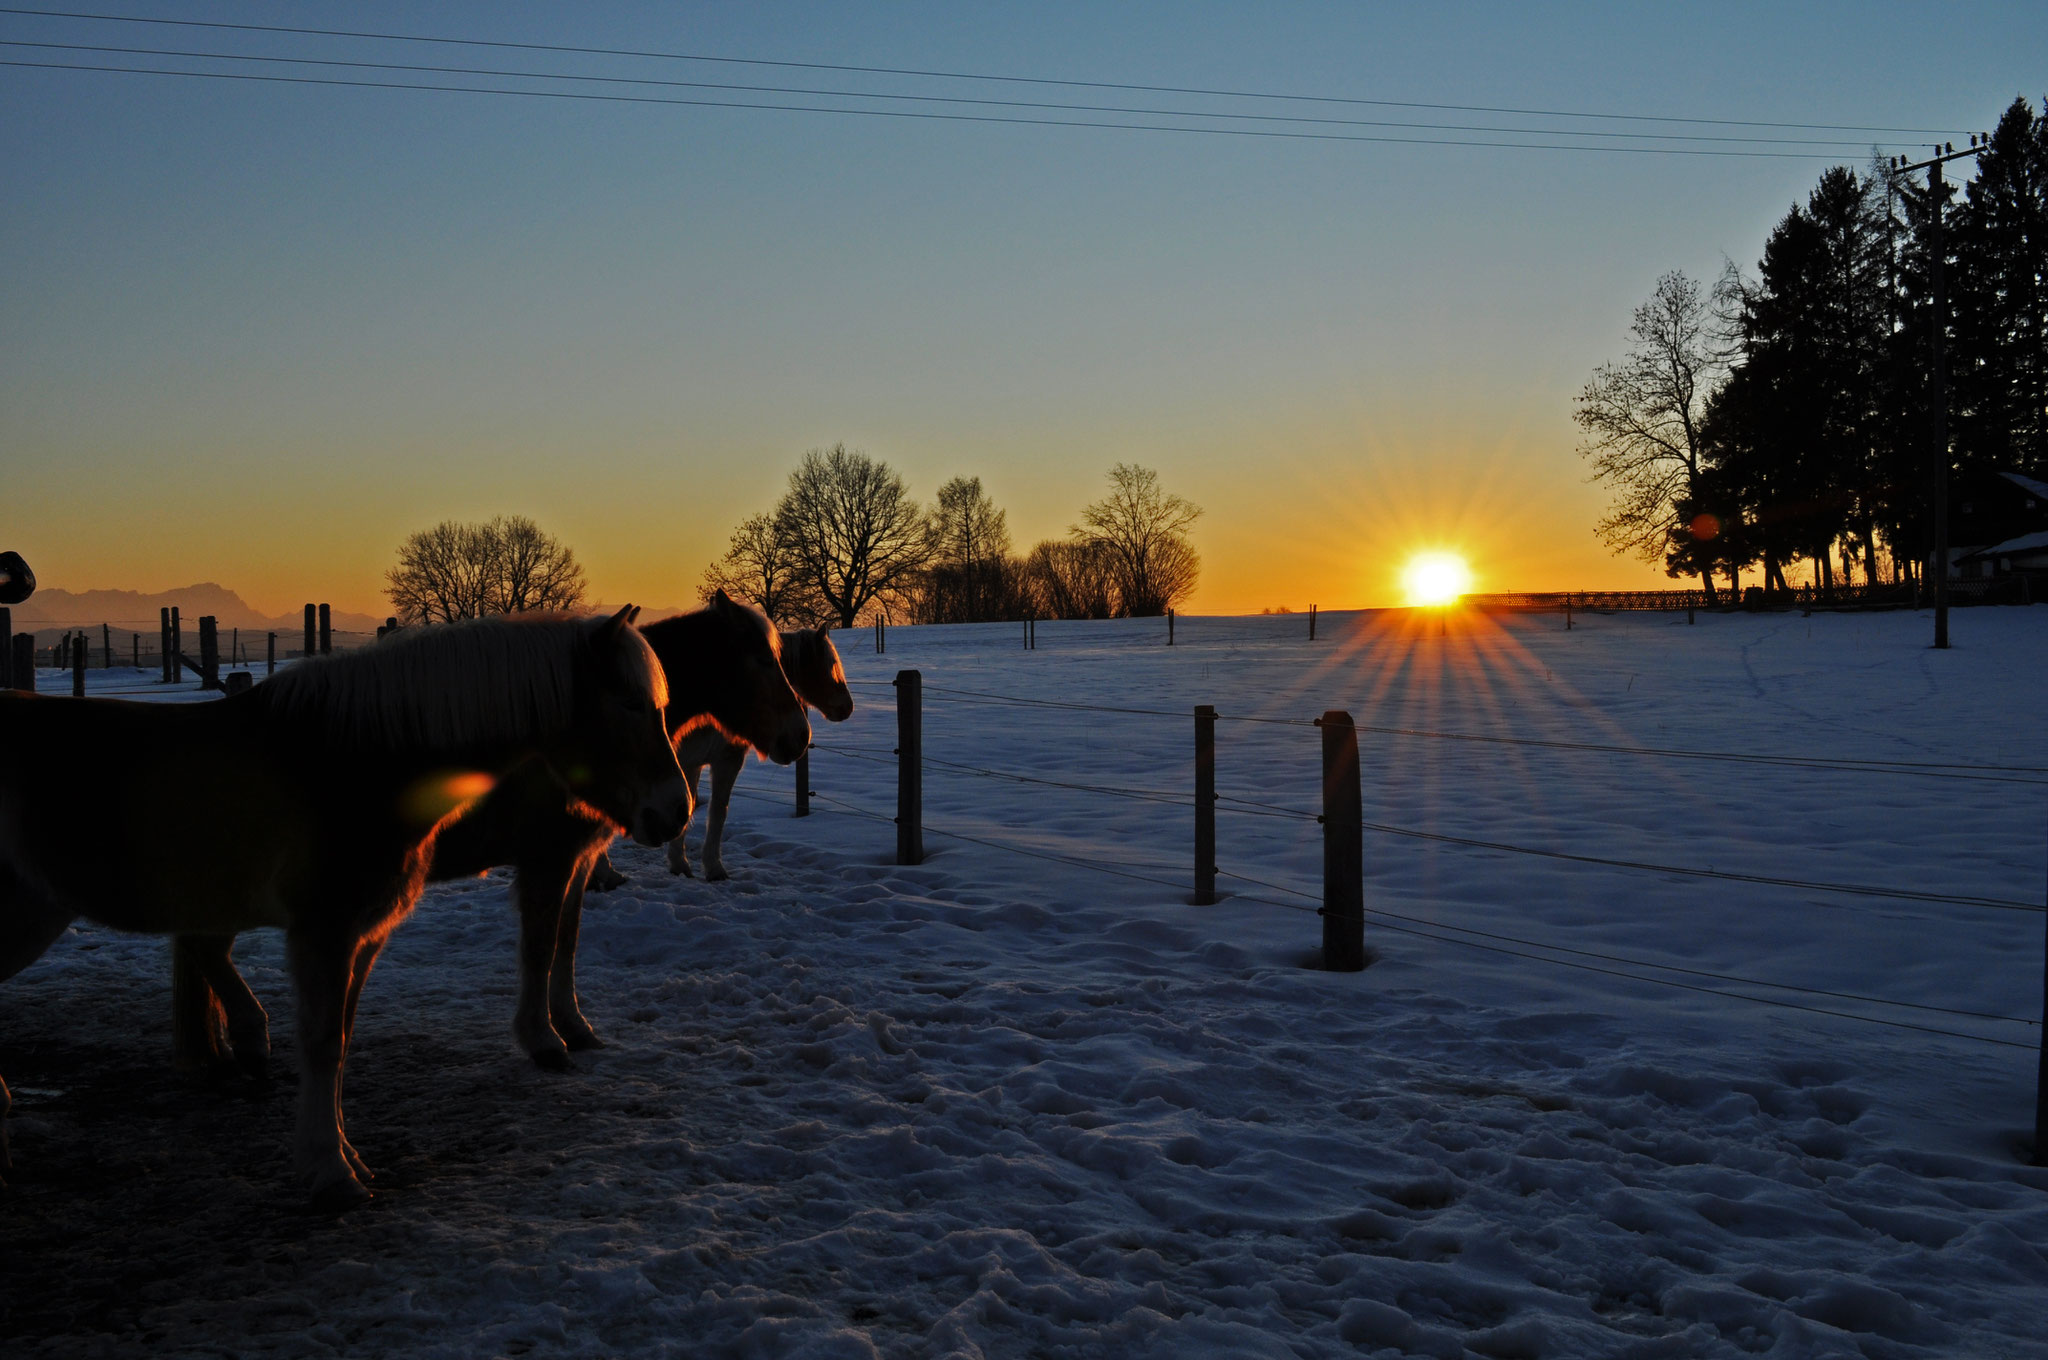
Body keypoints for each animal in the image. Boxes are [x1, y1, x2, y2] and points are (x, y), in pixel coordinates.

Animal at [0, 610, 692, 1204]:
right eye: (631, 704)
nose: (675, 812)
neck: (363, 764)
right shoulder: (324, 933)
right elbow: (324, 1043)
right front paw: (331, 1175)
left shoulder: (362, 934)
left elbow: (341, 1038)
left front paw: (343, 1159)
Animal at [169, 589, 806, 1081]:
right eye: (759, 659)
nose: (798, 737)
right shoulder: (548, 860)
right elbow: (541, 946)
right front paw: (544, 1039)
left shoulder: (576, 861)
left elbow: (566, 944)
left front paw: (574, 1027)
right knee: (206, 948)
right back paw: (247, 1039)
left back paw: (217, 1046)